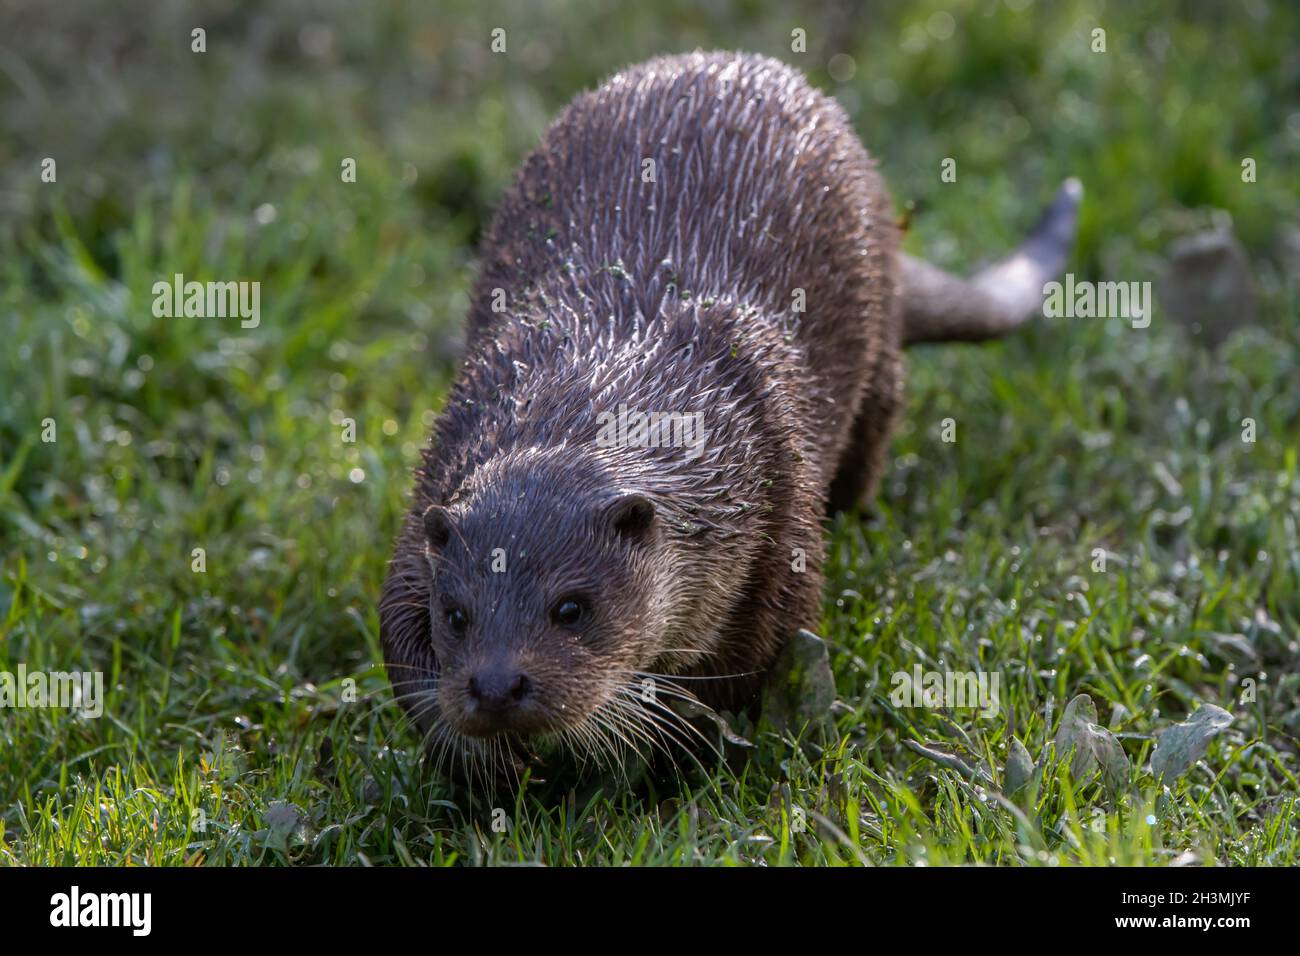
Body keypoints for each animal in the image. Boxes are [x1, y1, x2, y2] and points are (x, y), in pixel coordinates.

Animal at [377, 52, 1076, 780]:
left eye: (571, 607)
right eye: (456, 615)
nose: (494, 686)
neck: (606, 371)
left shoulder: (778, 505)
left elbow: (749, 666)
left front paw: (666, 759)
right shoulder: (432, 480)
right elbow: (397, 632)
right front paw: (481, 761)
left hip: (878, 340)